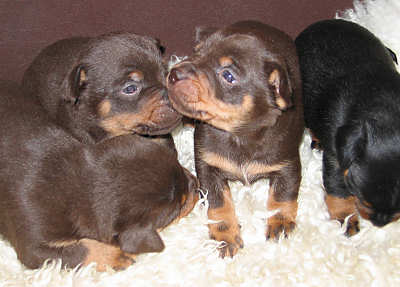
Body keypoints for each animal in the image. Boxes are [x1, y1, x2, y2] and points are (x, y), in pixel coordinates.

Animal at [0, 81, 199, 272]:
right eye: (179, 208)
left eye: (178, 164)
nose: (196, 184)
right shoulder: (34, 247)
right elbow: (81, 250)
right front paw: (116, 256)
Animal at [166, 20, 304, 258]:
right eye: (196, 52)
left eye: (228, 75)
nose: (173, 73)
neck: (239, 133)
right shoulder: (208, 167)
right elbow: (219, 203)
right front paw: (226, 235)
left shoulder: (288, 164)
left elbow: (282, 195)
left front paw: (279, 222)